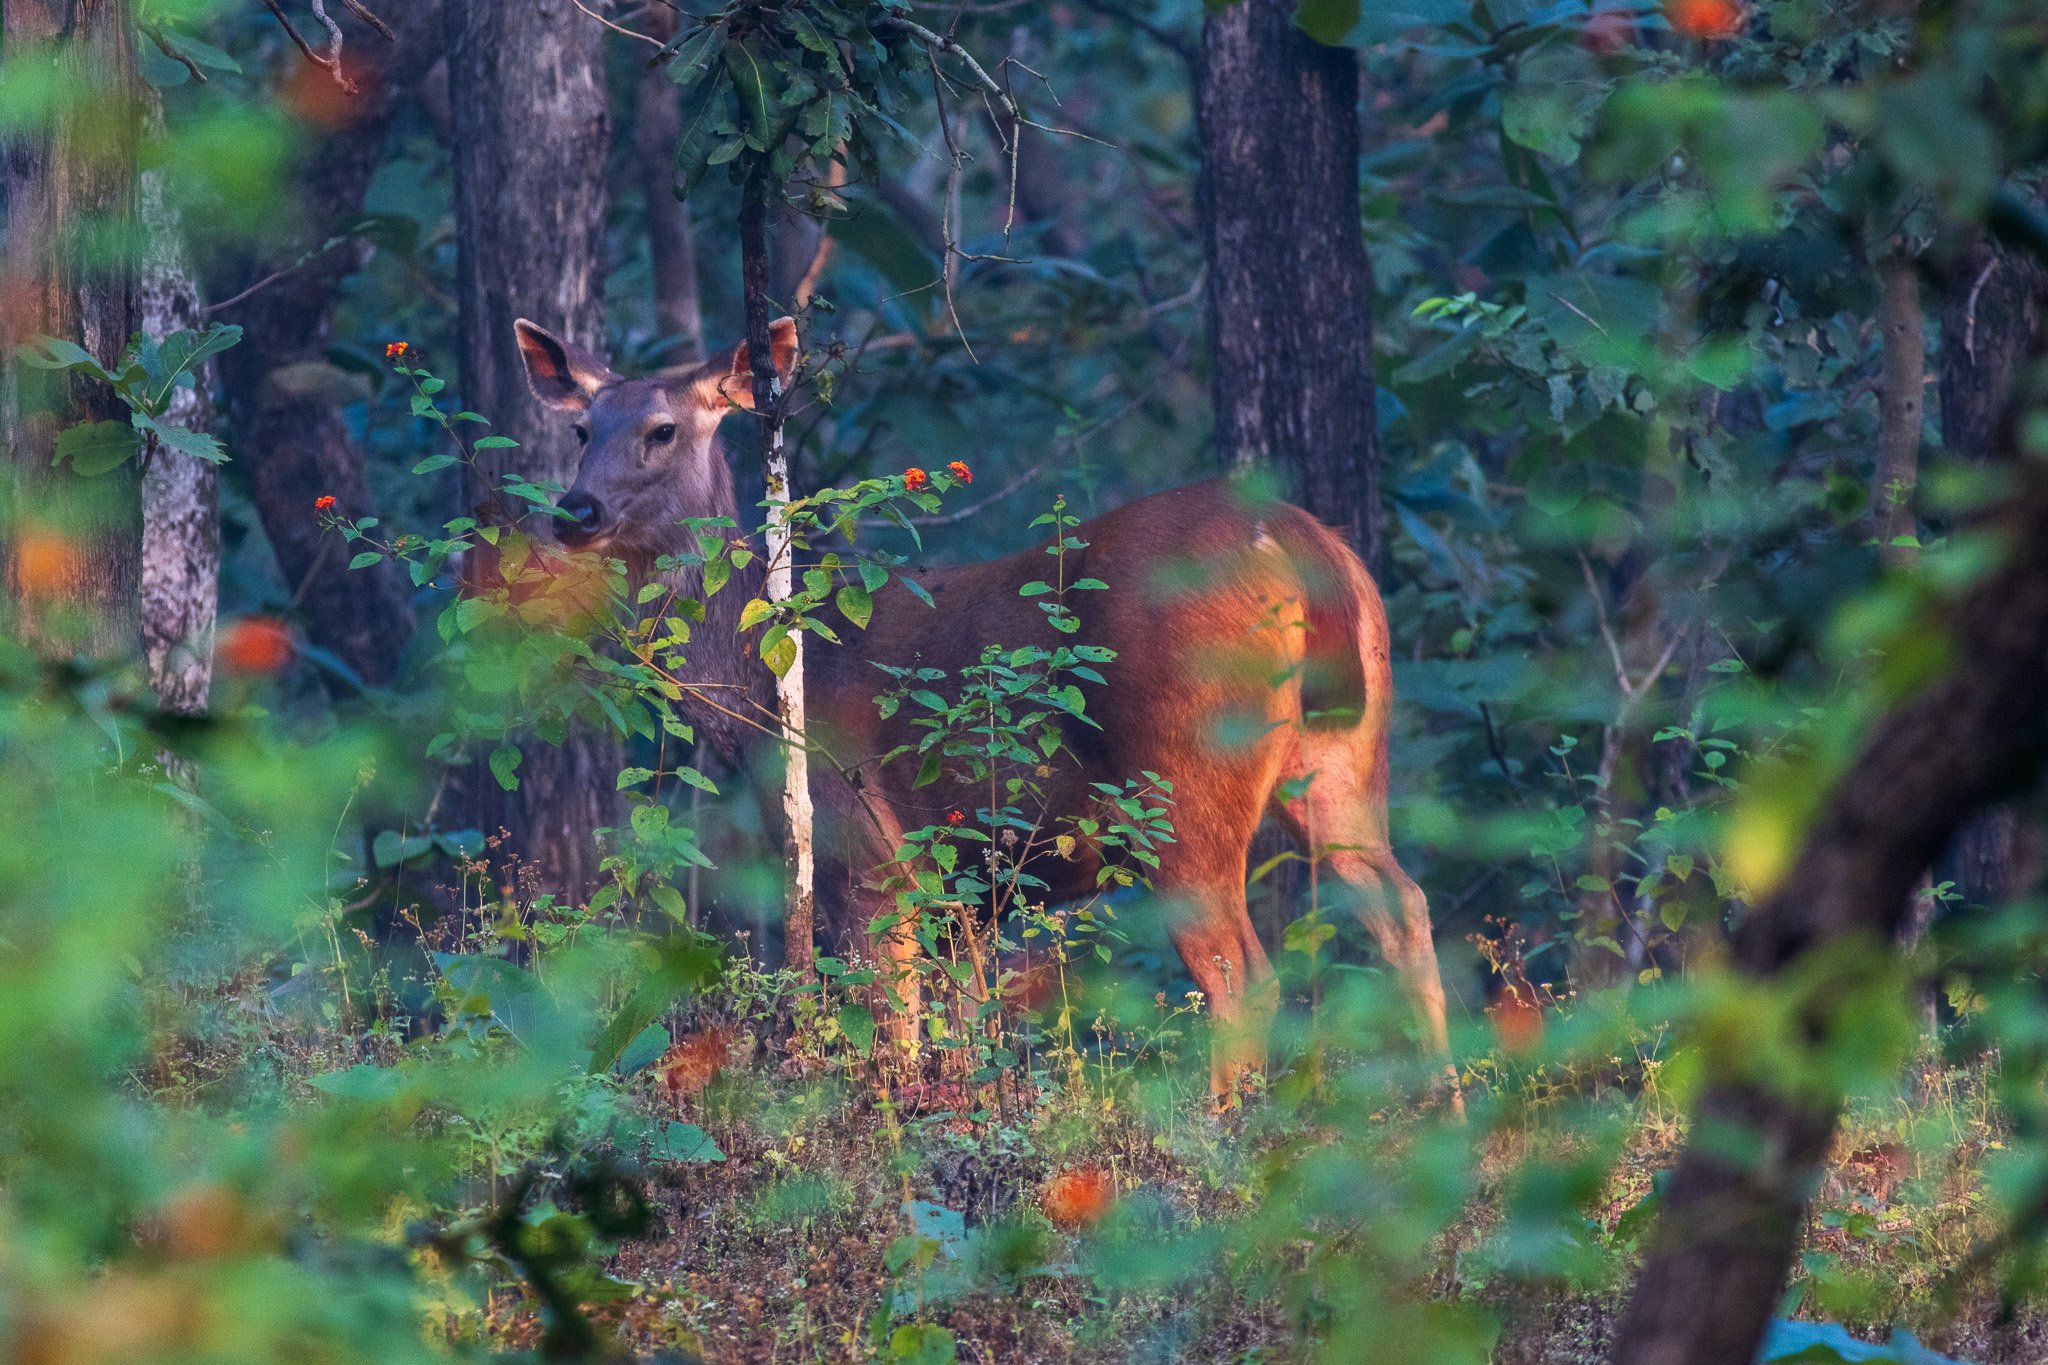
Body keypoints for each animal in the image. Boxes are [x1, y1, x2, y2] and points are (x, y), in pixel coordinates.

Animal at [520, 317, 1449, 1096]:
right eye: (582, 430)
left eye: (662, 429)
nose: (575, 510)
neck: (763, 678)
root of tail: (1301, 539)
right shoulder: (968, 888)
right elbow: (965, 1030)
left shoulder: (869, 848)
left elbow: (894, 1030)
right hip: (1342, 754)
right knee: (1402, 904)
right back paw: (1445, 1112)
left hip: (1185, 775)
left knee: (1242, 974)